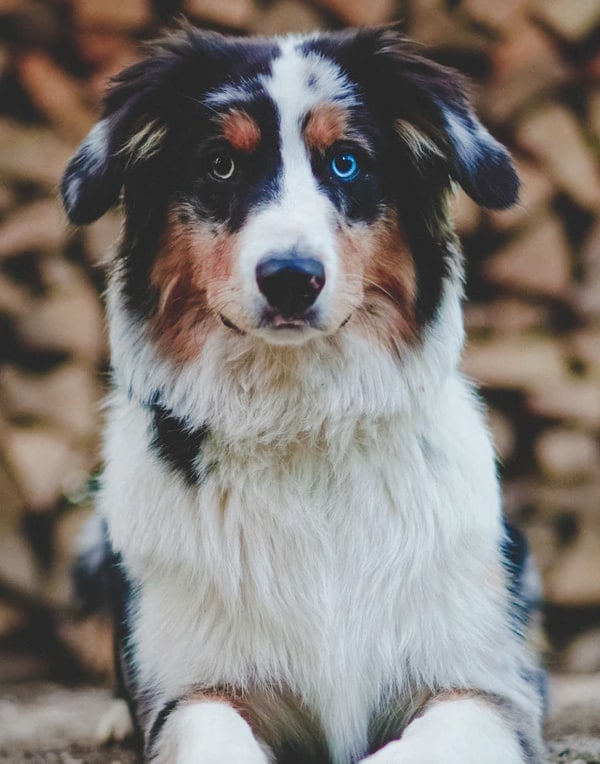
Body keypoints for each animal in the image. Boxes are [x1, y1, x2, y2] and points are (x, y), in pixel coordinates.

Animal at [63, 23, 548, 764]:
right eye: (220, 166)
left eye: (345, 163)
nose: (291, 277)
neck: (302, 421)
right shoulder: (193, 689)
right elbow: (211, 733)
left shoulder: (485, 688)